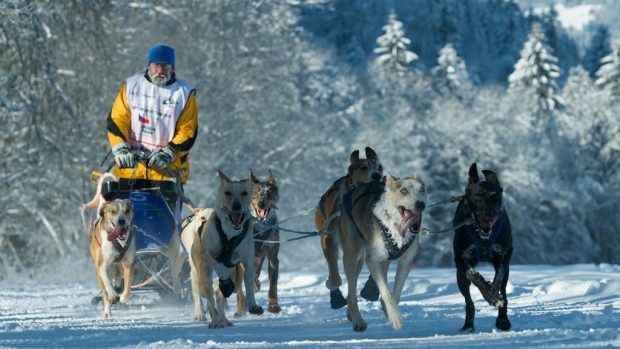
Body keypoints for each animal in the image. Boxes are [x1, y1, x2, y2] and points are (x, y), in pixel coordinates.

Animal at [83, 173, 136, 316]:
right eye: (113, 211)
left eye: (127, 210)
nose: (121, 221)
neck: (119, 241)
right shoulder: (103, 266)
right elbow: (107, 284)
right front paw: (113, 295)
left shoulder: (129, 263)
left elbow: (128, 285)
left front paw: (123, 297)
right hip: (99, 271)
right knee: (104, 292)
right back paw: (108, 309)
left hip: (118, 267)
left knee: (118, 278)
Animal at [182, 170, 264, 328]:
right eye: (227, 192)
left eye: (244, 193)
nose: (237, 206)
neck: (230, 234)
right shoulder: (211, 260)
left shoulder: (246, 260)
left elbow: (249, 281)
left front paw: (253, 305)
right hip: (199, 273)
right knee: (206, 297)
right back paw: (209, 318)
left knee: (218, 296)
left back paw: (223, 319)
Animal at [314, 146, 382, 308]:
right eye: (363, 167)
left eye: (380, 167)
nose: (377, 176)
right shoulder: (329, 238)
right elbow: (334, 272)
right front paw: (333, 287)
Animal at [334, 174, 426, 332]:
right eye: (403, 190)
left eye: (422, 190)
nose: (421, 204)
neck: (395, 229)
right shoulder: (372, 260)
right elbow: (386, 290)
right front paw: (395, 317)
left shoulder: (406, 261)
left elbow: (396, 292)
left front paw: (390, 310)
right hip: (352, 256)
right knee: (352, 292)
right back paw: (358, 320)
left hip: (378, 261)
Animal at [450, 162, 512, 330]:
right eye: (477, 195)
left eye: (494, 195)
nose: (489, 213)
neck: (483, 237)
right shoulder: (460, 258)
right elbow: (474, 275)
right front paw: (490, 296)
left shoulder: (504, 256)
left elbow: (498, 279)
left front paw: (494, 294)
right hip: (460, 278)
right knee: (468, 301)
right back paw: (468, 325)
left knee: (504, 290)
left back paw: (502, 319)